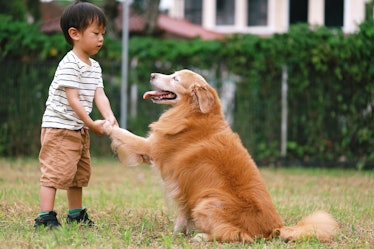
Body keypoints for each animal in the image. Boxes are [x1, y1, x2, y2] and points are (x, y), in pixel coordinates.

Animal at [103, 69, 340, 242]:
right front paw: (179, 232)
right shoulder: (182, 188)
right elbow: (182, 213)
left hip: (208, 202)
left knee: (236, 235)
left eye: (175, 78)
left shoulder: (152, 148)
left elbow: (123, 133)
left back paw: (202, 237)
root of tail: (276, 228)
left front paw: (104, 124)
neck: (194, 114)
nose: (152, 74)